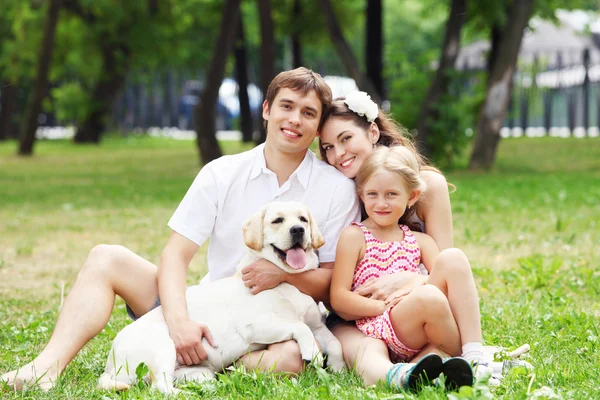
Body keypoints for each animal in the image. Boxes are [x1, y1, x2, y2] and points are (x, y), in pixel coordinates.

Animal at [96, 202, 344, 396]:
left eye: (303, 219)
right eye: (277, 220)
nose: (298, 230)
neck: (288, 281)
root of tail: (110, 366)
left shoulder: (318, 326)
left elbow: (335, 343)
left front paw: (339, 369)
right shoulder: (256, 325)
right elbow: (300, 326)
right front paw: (313, 351)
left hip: (199, 372)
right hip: (163, 347)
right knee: (160, 387)